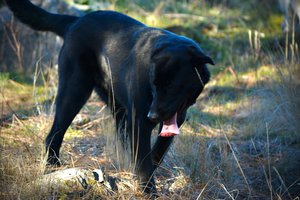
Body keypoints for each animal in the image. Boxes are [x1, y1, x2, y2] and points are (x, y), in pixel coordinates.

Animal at [5, 0, 214, 194]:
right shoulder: (139, 120)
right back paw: (52, 166)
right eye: (154, 84)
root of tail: (75, 21)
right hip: (74, 92)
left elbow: (156, 152)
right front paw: (148, 190)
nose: (152, 116)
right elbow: (144, 160)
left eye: (172, 86)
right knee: (55, 132)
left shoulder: (173, 117)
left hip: (116, 106)